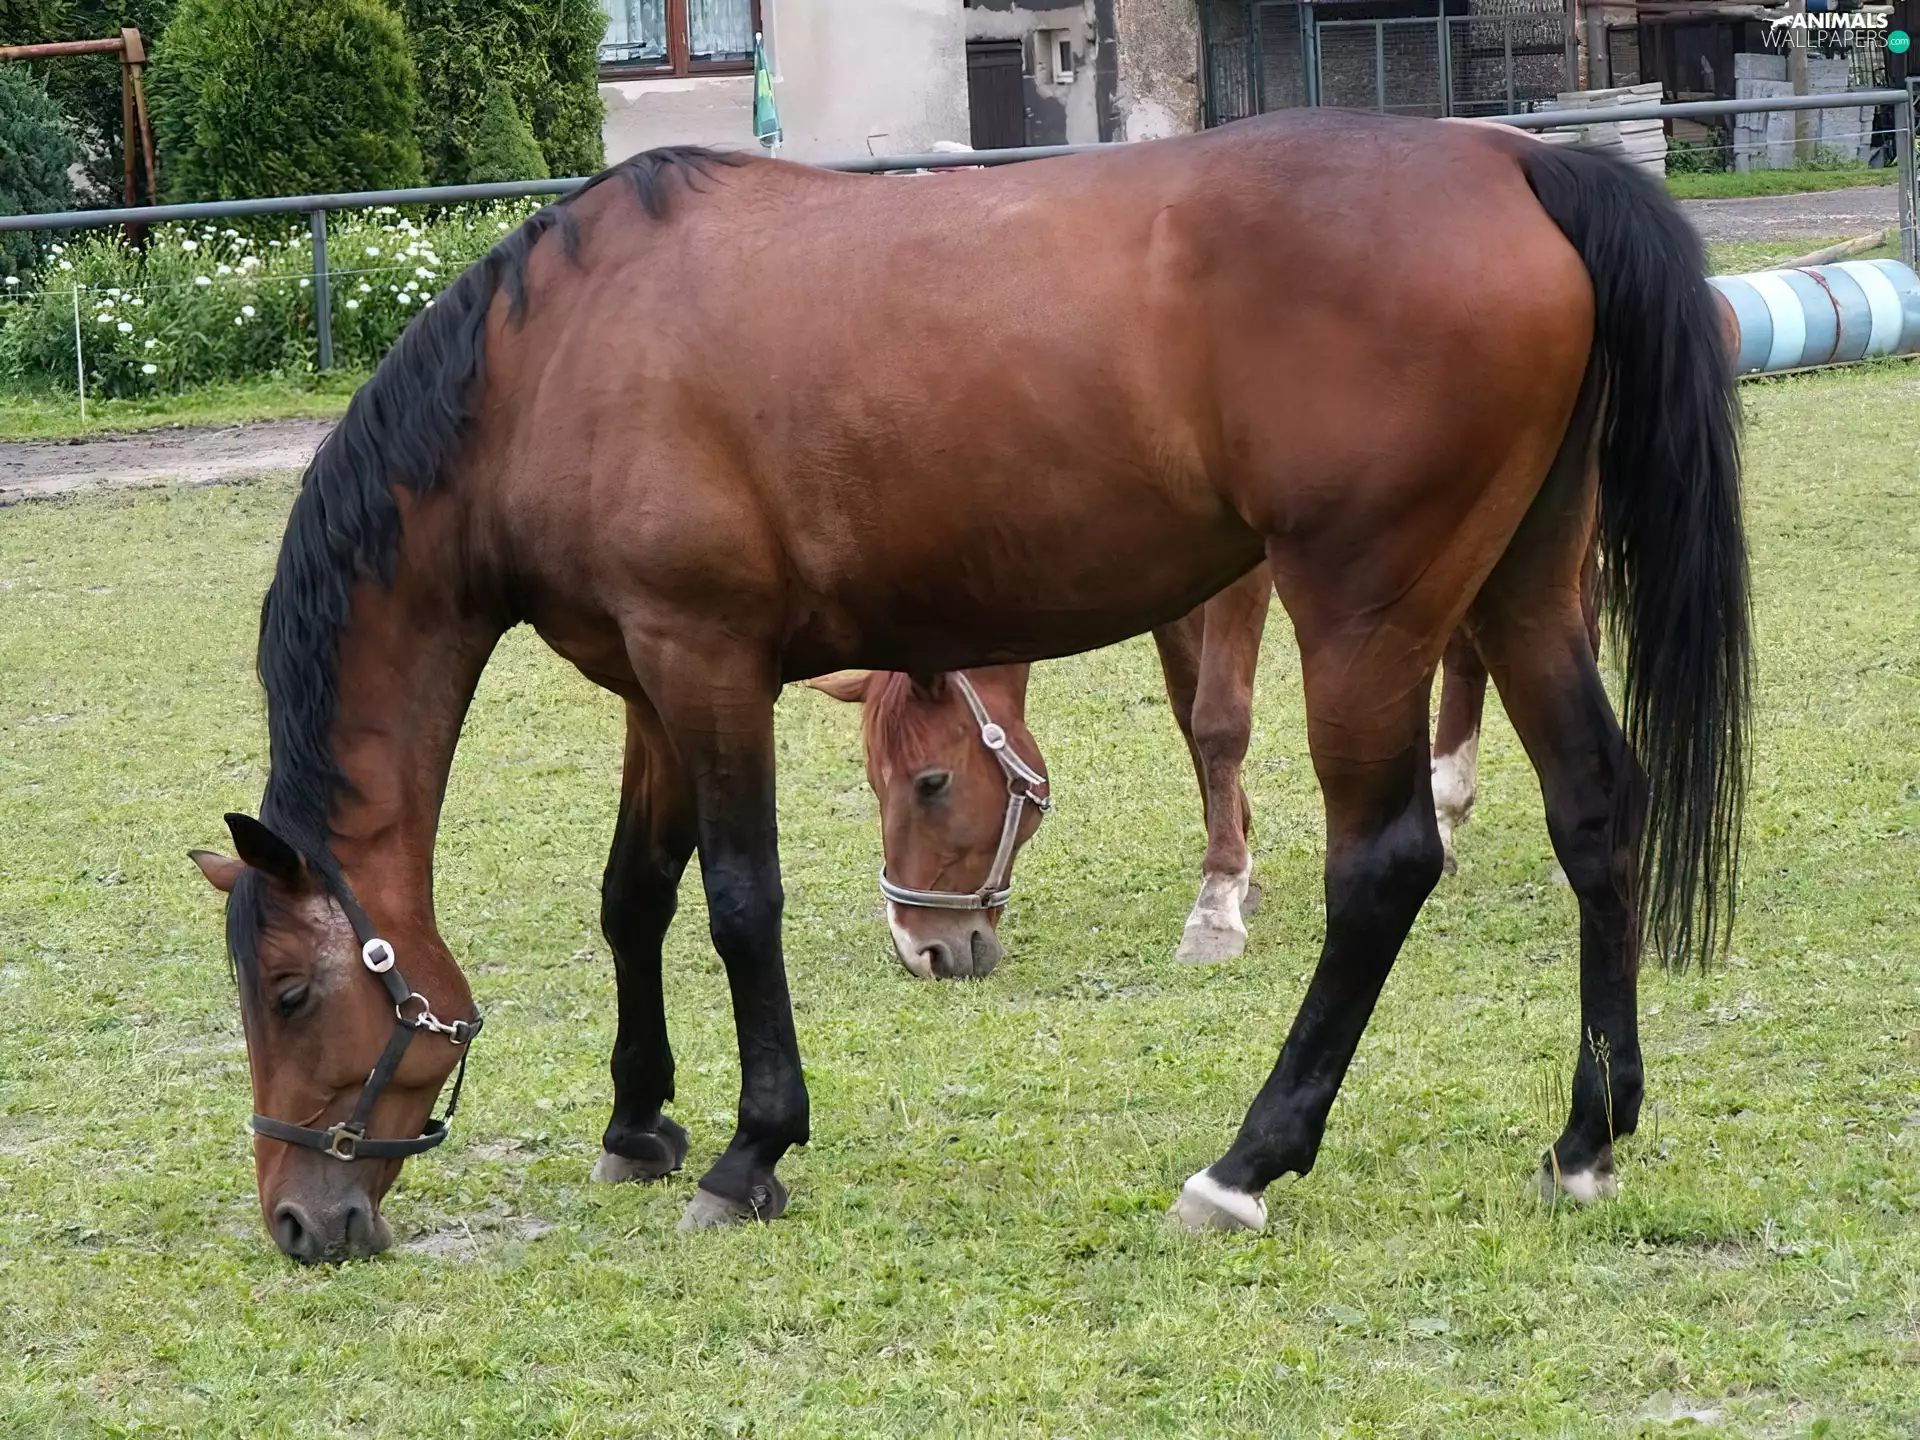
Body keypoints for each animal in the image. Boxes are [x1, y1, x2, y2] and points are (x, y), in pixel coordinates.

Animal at [188, 113, 1747, 1260]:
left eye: (288, 994)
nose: (298, 1219)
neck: (555, 357)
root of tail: (1517, 163)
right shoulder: (649, 682)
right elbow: (635, 898)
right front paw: (639, 1125)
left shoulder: (708, 660)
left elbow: (735, 902)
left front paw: (752, 1150)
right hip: (1522, 587)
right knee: (1595, 812)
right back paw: (1590, 1137)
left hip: (1364, 615)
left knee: (1384, 865)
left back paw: (1247, 1162)